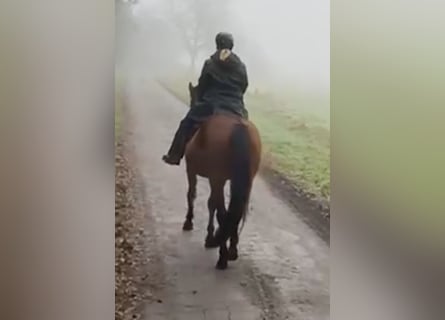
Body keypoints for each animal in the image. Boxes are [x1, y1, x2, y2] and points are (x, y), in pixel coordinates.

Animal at [182, 81, 262, 268]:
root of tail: (239, 127)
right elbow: (213, 204)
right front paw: (212, 235)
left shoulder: (193, 172)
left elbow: (194, 195)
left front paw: (190, 223)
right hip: (244, 181)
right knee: (235, 211)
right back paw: (231, 249)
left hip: (217, 179)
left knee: (223, 211)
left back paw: (222, 256)